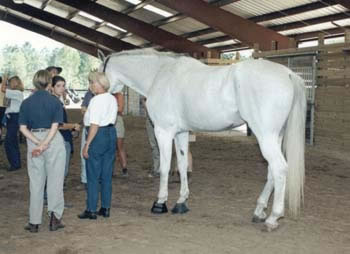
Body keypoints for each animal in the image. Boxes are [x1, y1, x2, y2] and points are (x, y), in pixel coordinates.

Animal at [98, 48, 306, 231]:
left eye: (99, 71)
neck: (159, 74)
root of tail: (288, 74)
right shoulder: (181, 133)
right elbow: (182, 165)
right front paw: (181, 202)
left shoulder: (163, 132)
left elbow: (164, 168)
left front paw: (160, 202)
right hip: (275, 136)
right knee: (272, 171)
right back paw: (259, 211)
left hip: (265, 136)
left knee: (279, 169)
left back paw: (273, 218)